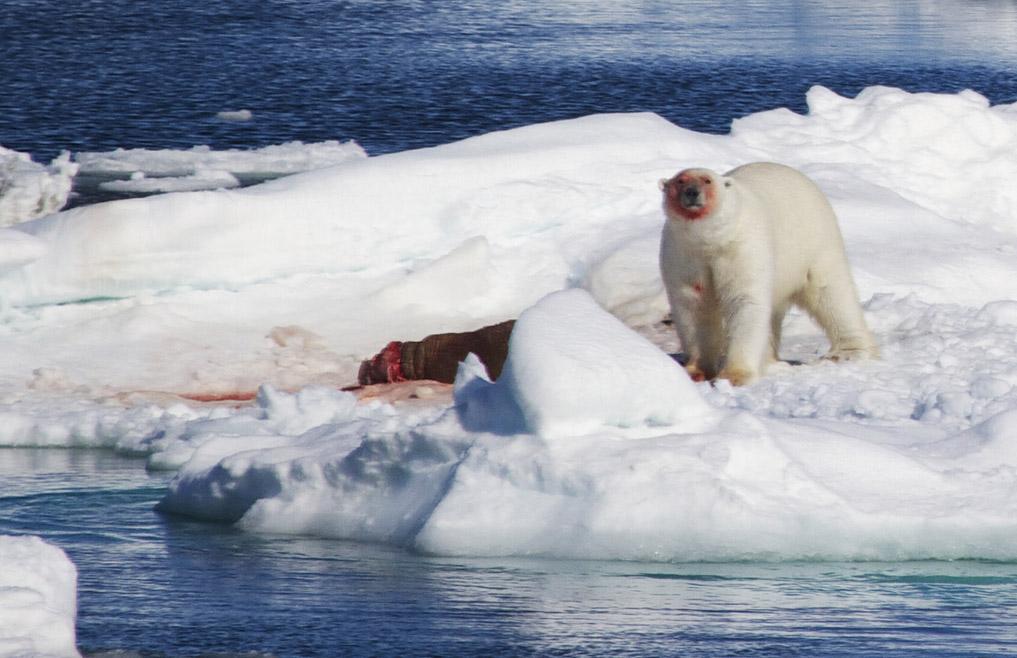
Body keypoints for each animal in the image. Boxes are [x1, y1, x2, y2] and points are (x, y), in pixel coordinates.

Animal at [654, 161, 878, 386]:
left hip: (815, 243)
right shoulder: (684, 253)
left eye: (707, 180)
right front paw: (695, 371)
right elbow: (693, 305)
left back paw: (847, 352)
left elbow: (746, 300)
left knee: (832, 293)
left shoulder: (743, 248)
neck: (711, 241)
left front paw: (735, 375)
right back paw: (770, 359)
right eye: (680, 181)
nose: (692, 192)